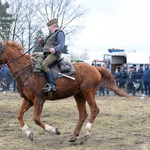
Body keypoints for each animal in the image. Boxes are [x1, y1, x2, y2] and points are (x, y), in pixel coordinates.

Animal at [0, 40, 129, 142]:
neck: (27, 72)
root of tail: (95, 68)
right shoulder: (28, 100)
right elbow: (19, 115)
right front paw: (28, 133)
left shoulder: (39, 100)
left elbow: (36, 119)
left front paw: (54, 130)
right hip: (79, 95)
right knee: (83, 114)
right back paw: (74, 136)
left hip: (88, 92)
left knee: (94, 110)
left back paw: (87, 132)